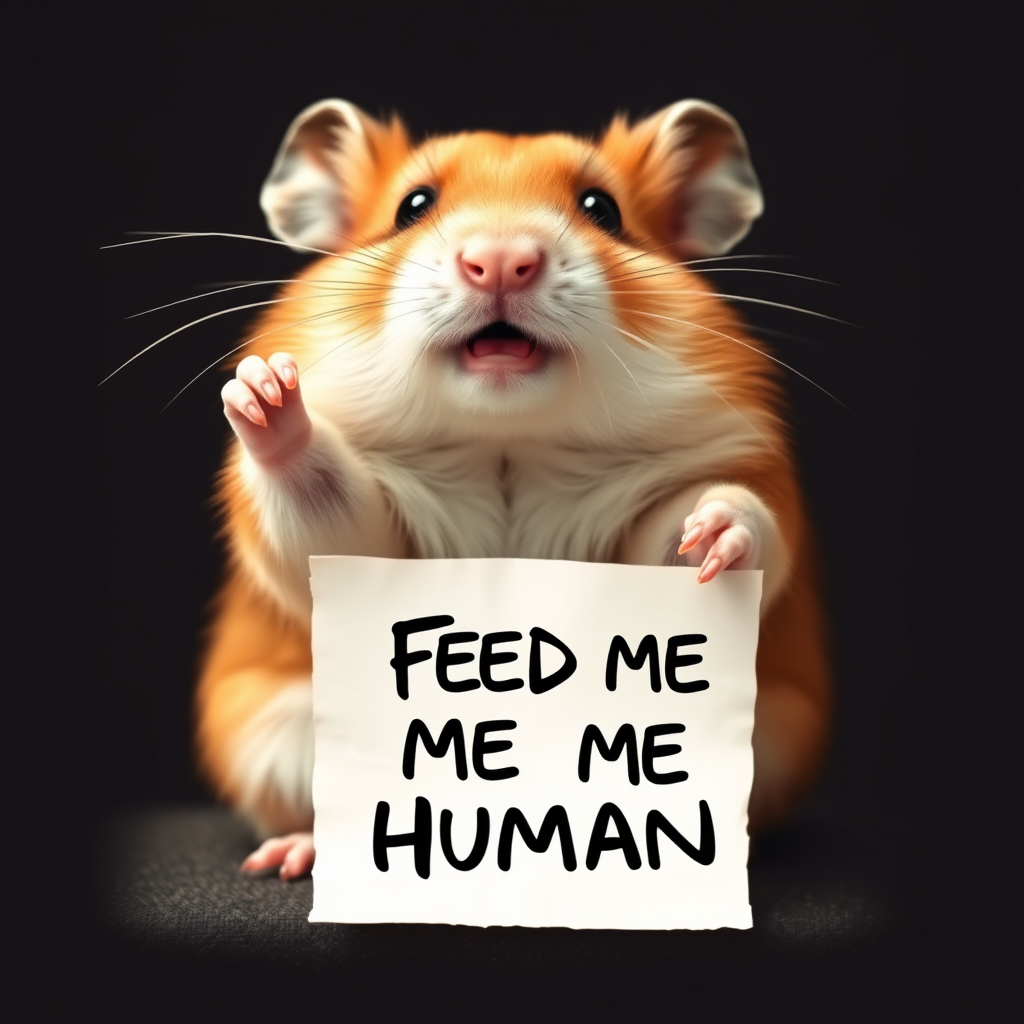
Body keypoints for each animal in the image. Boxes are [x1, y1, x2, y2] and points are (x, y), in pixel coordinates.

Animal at [196, 98, 831, 879]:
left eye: (602, 208)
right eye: (412, 206)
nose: (500, 260)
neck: (507, 441)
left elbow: (711, 523)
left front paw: (714, 529)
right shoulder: (356, 544)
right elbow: (324, 505)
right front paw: (265, 390)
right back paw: (292, 857)